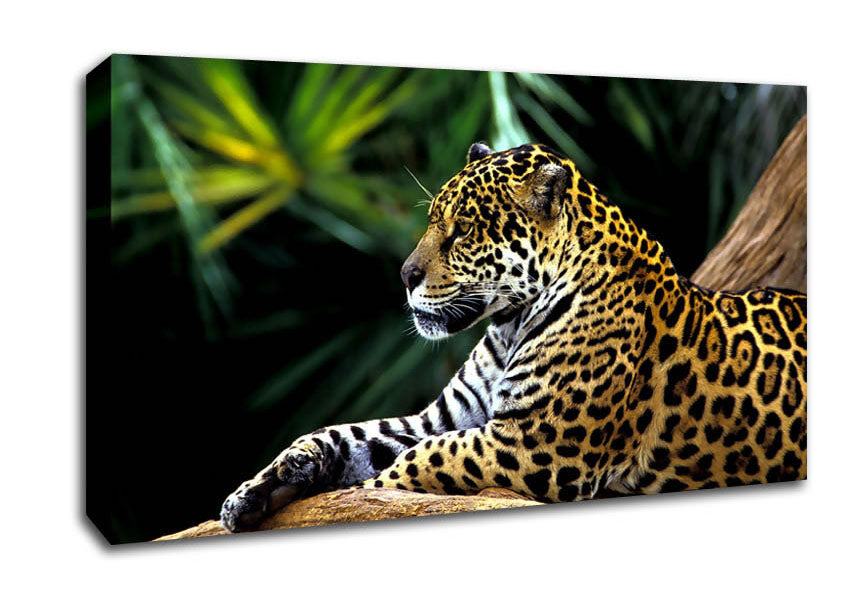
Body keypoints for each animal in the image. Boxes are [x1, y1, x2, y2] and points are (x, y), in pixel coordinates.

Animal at [221, 142, 807, 532]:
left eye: (461, 230)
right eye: (432, 220)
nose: (405, 275)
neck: (509, 324)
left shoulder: (534, 444)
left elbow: (415, 465)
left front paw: (359, 493)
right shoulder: (445, 418)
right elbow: (344, 435)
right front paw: (257, 490)